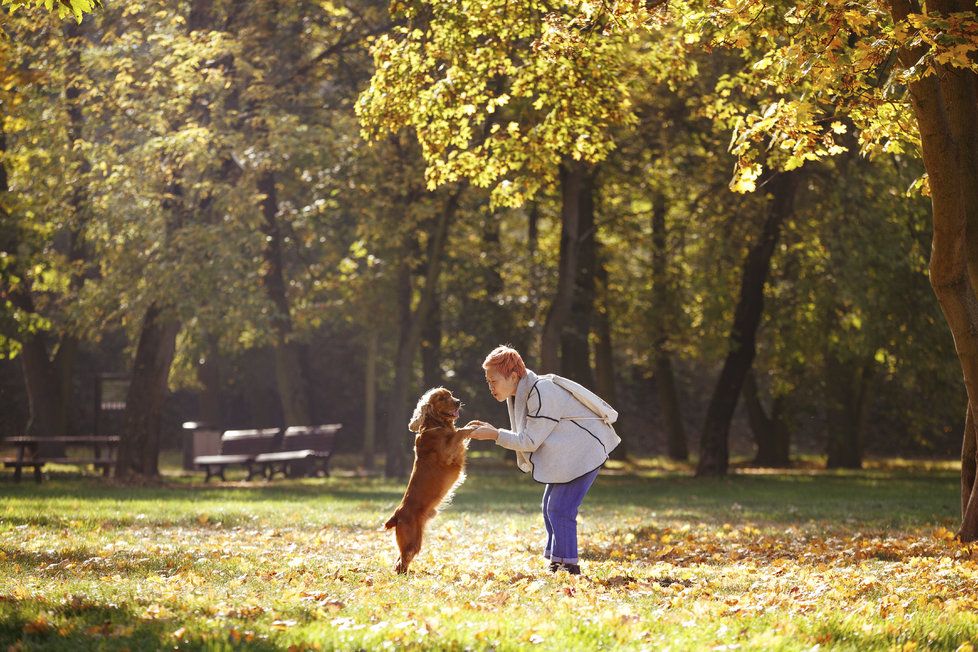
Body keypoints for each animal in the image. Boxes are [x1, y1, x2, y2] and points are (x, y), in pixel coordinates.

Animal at [384, 390, 474, 572]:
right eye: (441, 398)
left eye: (450, 394)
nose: (458, 402)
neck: (436, 425)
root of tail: (397, 515)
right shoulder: (447, 453)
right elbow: (460, 432)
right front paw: (471, 427)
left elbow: (460, 431)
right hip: (411, 541)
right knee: (402, 561)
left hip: (415, 539)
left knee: (400, 561)